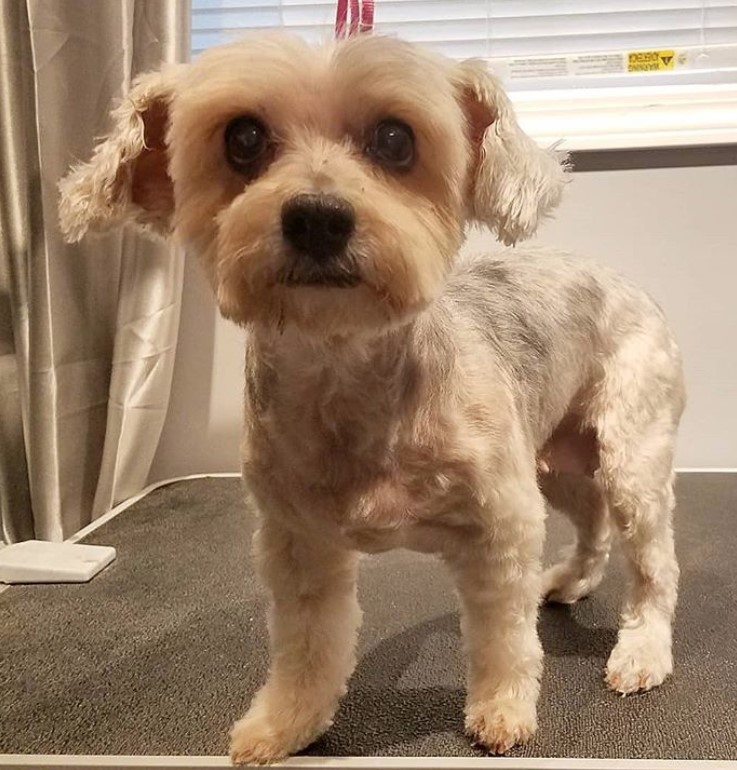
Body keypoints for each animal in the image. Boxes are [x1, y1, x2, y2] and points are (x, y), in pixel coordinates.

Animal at [57, 33, 684, 760]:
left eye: (393, 139)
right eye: (243, 138)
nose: (317, 218)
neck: (347, 372)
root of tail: (627, 282)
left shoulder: (501, 524)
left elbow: (502, 635)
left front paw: (502, 709)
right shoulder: (298, 542)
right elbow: (306, 643)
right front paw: (287, 721)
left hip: (629, 449)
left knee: (653, 560)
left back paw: (641, 650)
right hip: (553, 458)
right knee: (591, 519)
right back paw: (574, 579)